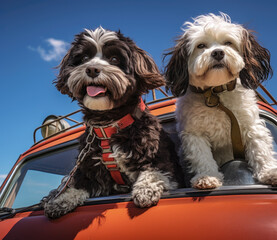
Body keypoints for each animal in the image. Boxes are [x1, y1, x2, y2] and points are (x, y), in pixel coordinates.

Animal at [42, 27, 183, 218]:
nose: (92, 69)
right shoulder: (89, 167)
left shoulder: (159, 158)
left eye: (114, 59)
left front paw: (146, 189)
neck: (109, 126)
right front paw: (60, 200)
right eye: (84, 58)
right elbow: (77, 184)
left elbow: (154, 172)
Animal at [164, 13, 276, 189]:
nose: (217, 53)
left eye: (228, 42)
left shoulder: (250, 124)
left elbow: (259, 147)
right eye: (201, 45)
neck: (216, 93)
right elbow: (201, 155)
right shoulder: (194, 133)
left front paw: (269, 171)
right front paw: (207, 177)